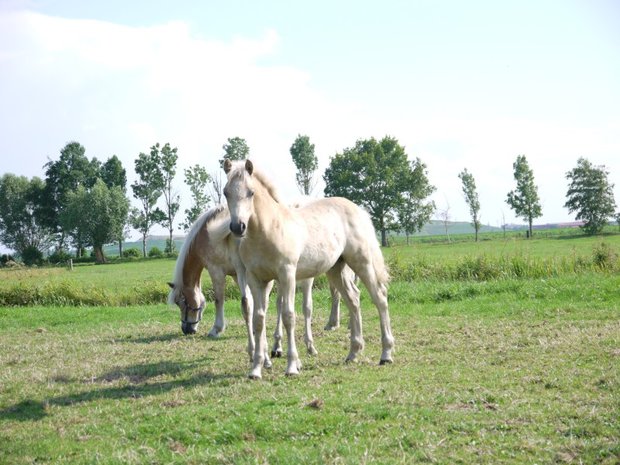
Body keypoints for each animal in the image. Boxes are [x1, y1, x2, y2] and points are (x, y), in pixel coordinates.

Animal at [167, 203, 344, 358]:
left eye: (181, 302)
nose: (186, 329)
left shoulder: (216, 269)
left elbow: (219, 300)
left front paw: (217, 329)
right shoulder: (239, 273)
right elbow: (252, 302)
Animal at [225, 159, 394, 376]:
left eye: (251, 192)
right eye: (226, 192)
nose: (238, 227)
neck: (268, 231)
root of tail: (358, 210)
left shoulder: (287, 274)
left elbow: (289, 316)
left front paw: (292, 366)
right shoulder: (256, 279)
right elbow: (258, 319)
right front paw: (256, 369)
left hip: (361, 261)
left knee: (379, 297)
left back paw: (386, 354)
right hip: (336, 269)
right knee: (353, 299)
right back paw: (353, 353)